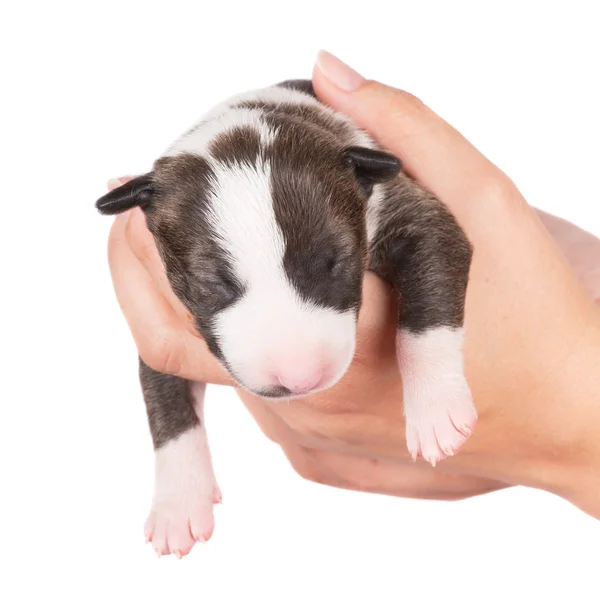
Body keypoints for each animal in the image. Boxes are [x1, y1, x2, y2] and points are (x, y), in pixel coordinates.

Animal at [96, 79, 476, 556]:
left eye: (334, 263)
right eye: (213, 283)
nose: (300, 379)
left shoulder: (414, 215)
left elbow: (431, 297)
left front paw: (435, 408)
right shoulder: (158, 319)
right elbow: (164, 398)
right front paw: (179, 500)